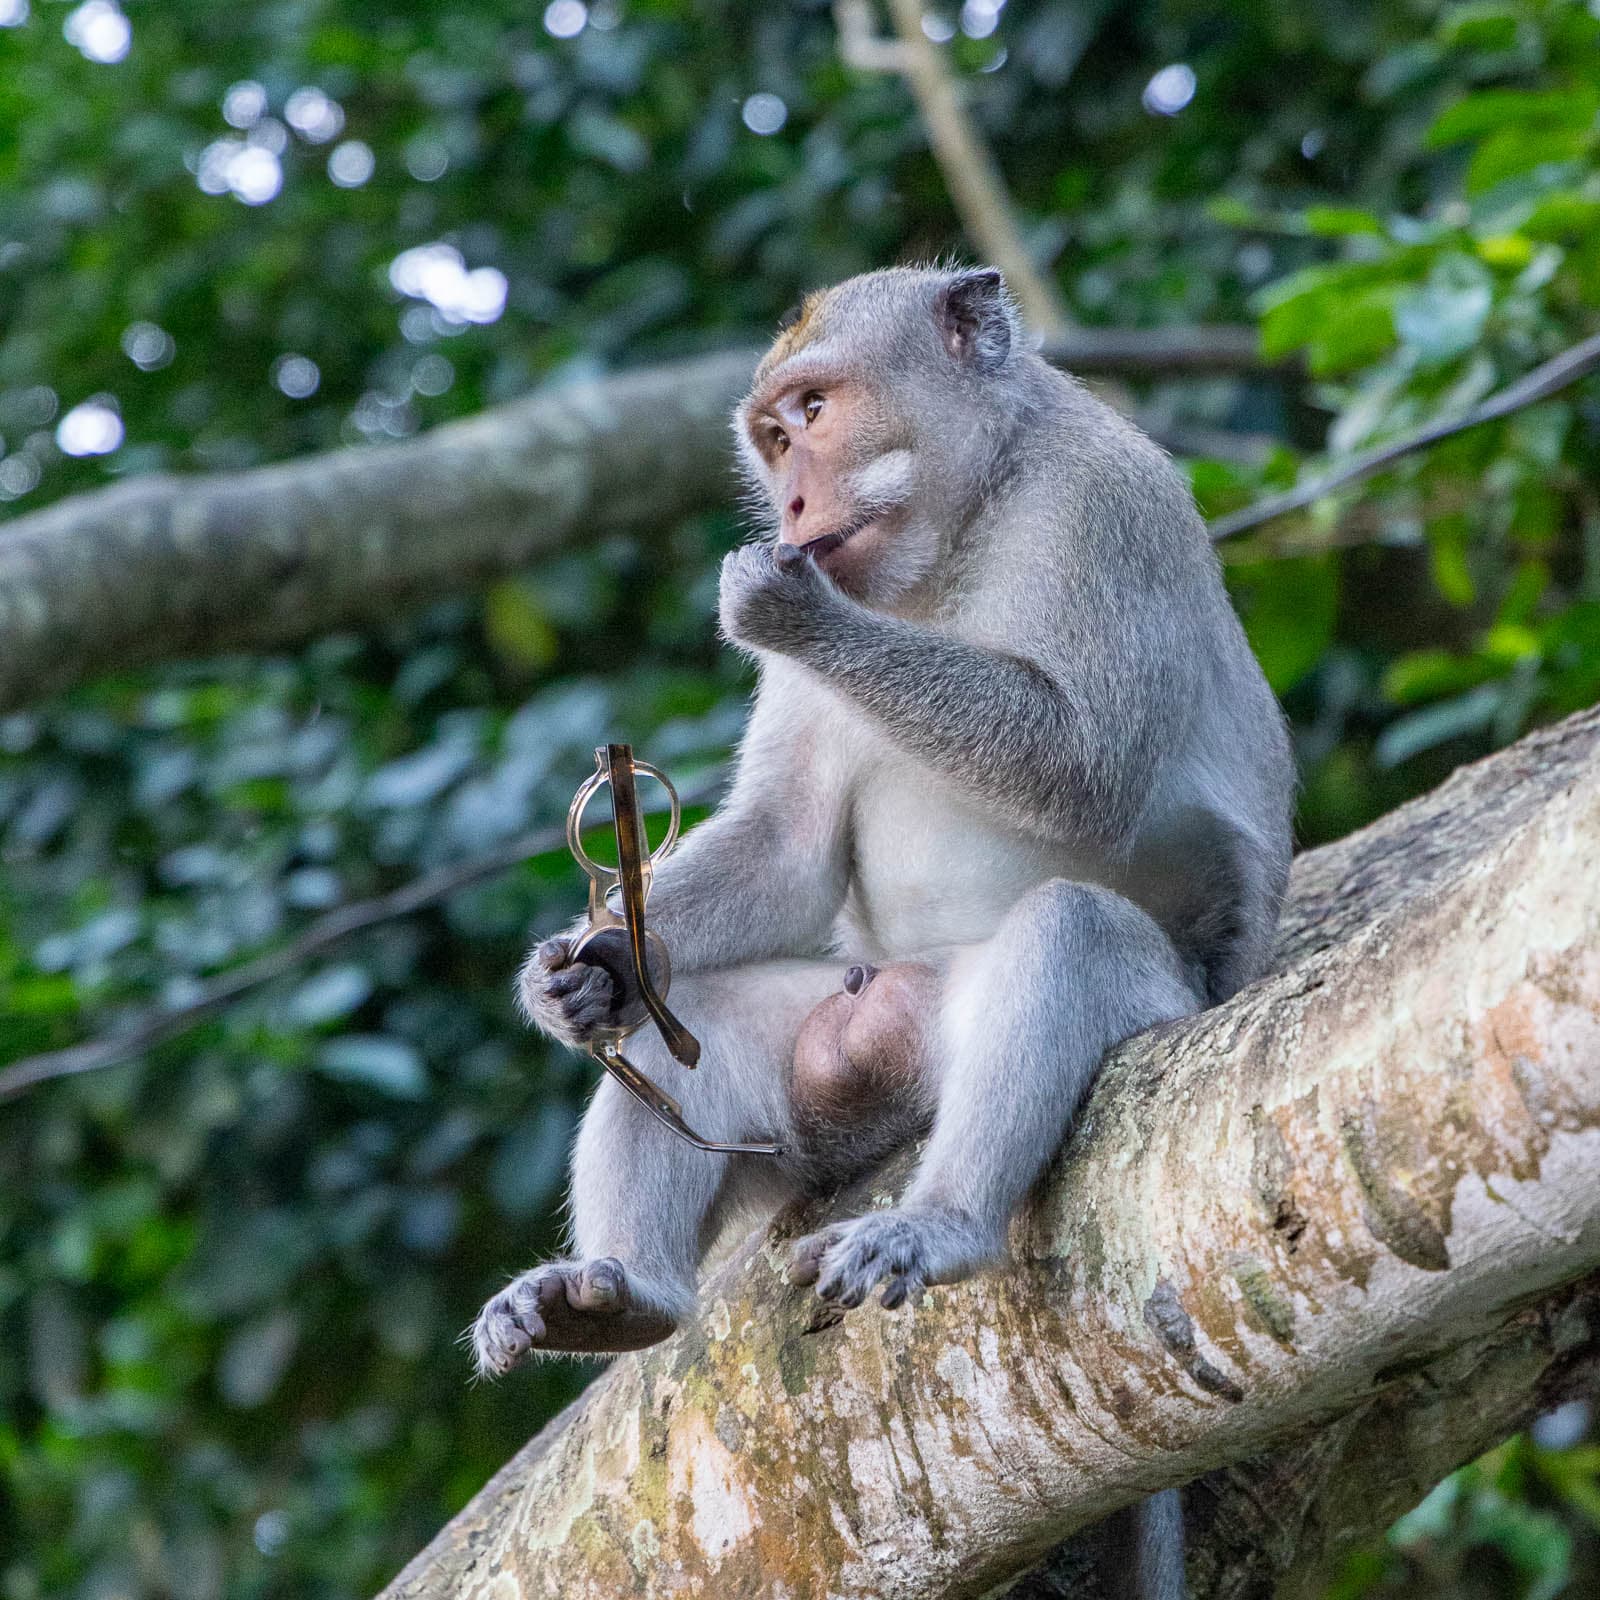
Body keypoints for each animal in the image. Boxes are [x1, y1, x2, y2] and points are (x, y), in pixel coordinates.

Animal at [471, 265, 1294, 1594]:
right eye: (771, 435)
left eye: (815, 408)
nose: (792, 499)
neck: (966, 515)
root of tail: (886, 1068)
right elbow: (788, 847)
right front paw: (578, 973)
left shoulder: (1107, 505)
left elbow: (1078, 770)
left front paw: (780, 602)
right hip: (812, 1105)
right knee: (694, 1020)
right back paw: (616, 1293)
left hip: (1134, 1007)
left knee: (1066, 932)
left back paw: (940, 1222)